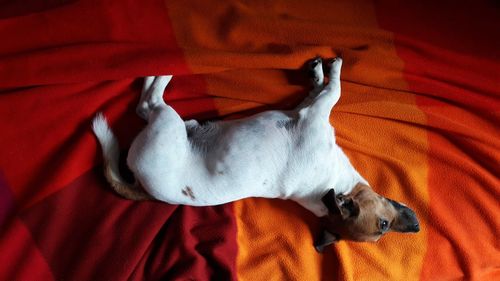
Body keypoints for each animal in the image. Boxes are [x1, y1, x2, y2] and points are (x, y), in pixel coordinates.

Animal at [93, 57, 418, 252]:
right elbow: (324, 91)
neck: (333, 187)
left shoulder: (313, 113)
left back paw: (159, 75)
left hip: (167, 123)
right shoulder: (308, 110)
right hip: (173, 123)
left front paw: (330, 71)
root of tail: (140, 183)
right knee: (146, 106)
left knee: (148, 105)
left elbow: (332, 90)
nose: (416, 227)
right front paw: (319, 73)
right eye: (384, 225)